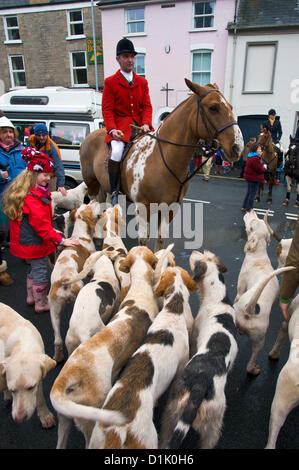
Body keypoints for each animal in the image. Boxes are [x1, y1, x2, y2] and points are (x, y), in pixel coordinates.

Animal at [81, 80, 245, 250]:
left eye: (231, 107)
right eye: (213, 108)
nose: (238, 147)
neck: (162, 160)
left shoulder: (170, 208)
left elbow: (160, 239)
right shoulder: (143, 207)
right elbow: (144, 241)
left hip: (106, 186)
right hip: (91, 184)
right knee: (93, 207)